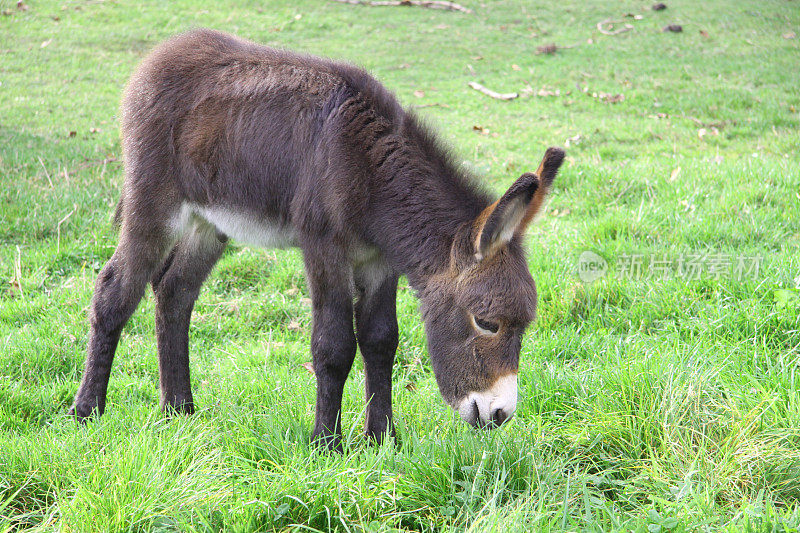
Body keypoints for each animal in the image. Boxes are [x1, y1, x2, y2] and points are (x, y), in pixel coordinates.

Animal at [72, 29, 564, 448]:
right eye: (487, 323)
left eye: (523, 326)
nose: (500, 414)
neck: (371, 172)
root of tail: (161, 54)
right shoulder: (324, 248)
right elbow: (334, 345)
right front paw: (327, 444)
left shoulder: (379, 261)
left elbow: (381, 340)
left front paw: (381, 439)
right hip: (154, 204)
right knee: (115, 290)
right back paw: (87, 412)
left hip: (208, 225)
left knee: (174, 292)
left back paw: (179, 411)